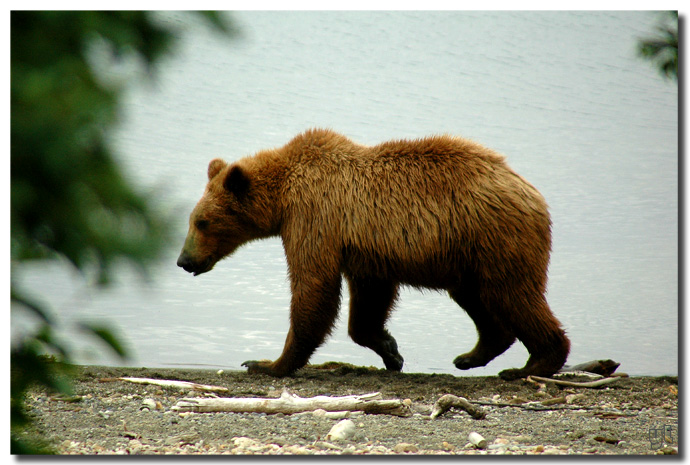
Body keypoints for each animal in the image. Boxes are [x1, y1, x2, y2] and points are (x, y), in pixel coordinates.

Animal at [177, 126, 568, 376]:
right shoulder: (366, 250)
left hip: (496, 237)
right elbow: (369, 301)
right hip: (468, 255)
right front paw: (390, 349)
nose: (183, 260)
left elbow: (313, 286)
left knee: (514, 294)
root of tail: (532, 192)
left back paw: (536, 363)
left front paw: (267, 363)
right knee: (478, 297)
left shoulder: (314, 218)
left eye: (203, 222)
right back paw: (472, 355)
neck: (283, 198)